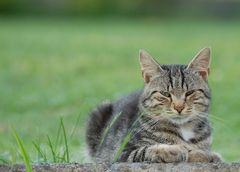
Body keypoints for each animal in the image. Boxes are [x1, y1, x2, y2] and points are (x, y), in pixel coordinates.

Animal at [86, 47, 221, 163]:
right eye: (165, 94)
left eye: (190, 93)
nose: (179, 107)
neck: (184, 129)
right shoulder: (120, 153)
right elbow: (145, 150)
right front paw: (174, 150)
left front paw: (207, 155)